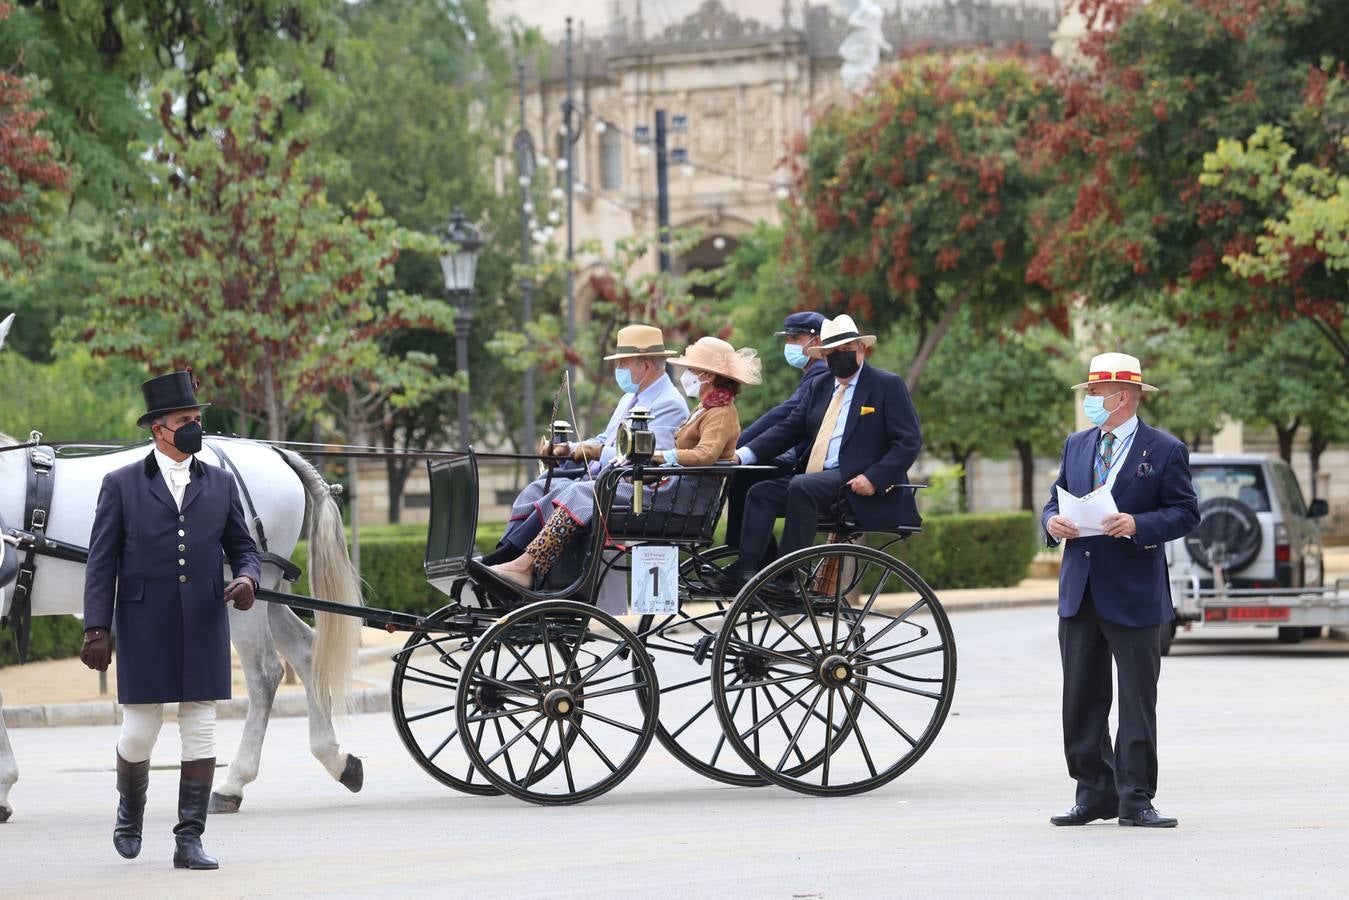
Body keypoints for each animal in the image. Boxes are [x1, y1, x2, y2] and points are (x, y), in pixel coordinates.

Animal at [0, 313, 364, 820]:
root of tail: (272, 451)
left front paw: (4, 786)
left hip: (239, 598)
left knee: (265, 674)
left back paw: (232, 783)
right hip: (266, 592)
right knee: (307, 652)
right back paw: (336, 758)